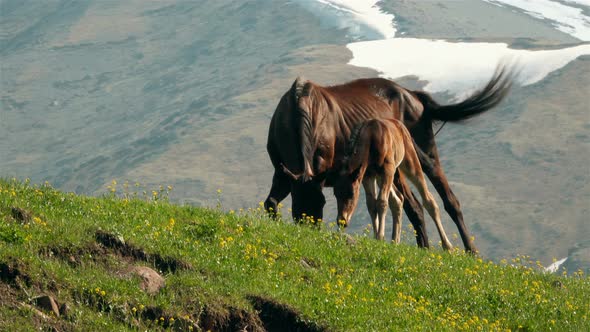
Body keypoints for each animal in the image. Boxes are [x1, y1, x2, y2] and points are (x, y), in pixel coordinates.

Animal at [336, 118, 456, 250]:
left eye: (351, 194)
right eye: (336, 194)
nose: (342, 221)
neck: (371, 138)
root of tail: (401, 126)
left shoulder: (387, 170)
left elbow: (381, 202)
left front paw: (380, 237)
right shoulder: (368, 176)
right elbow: (371, 205)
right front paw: (376, 238)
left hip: (409, 164)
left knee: (428, 200)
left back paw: (448, 246)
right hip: (384, 176)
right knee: (398, 199)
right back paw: (395, 241)